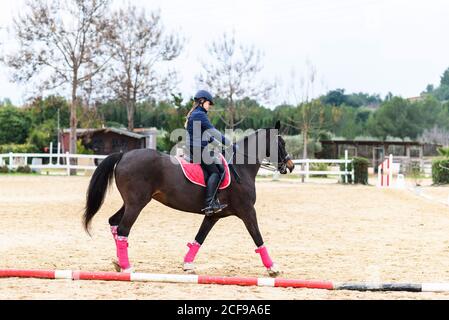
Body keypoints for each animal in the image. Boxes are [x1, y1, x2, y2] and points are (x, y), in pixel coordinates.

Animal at [83, 121, 294, 276]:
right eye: (281, 143)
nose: (290, 166)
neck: (240, 167)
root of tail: (124, 155)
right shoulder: (247, 211)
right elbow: (257, 237)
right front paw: (273, 267)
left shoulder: (213, 215)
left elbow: (200, 238)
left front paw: (187, 265)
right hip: (137, 204)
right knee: (123, 229)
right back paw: (127, 266)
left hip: (130, 203)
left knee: (114, 223)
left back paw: (119, 262)